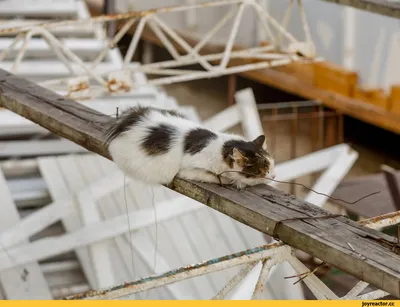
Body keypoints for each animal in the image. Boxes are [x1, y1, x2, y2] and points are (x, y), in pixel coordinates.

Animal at [104, 105, 276, 190]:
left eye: (272, 166)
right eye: (264, 171)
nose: (274, 176)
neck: (221, 147)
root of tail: (130, 118)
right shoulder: (186, 170)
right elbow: (216, 177)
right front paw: (232, 181)